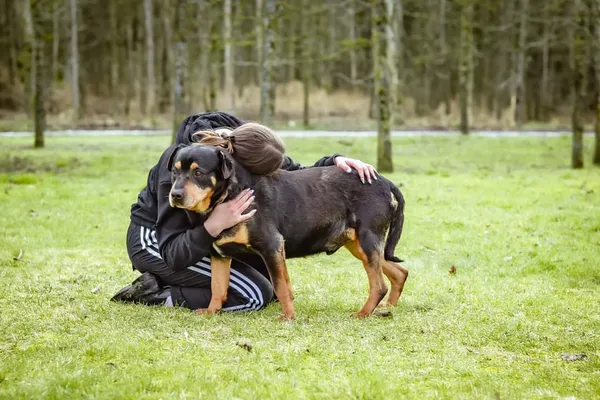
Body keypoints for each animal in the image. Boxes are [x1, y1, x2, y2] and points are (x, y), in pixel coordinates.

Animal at [169, 144, 408, 318]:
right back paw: (388, 308)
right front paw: (211, 312)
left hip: (367, 238)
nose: (175, 195)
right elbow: (217, 287)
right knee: (399, 273)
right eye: (174, 171)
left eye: (198, 172)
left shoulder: (271, 246)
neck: (228, 194)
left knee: (379, 285)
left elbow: (281, 286)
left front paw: (288, 317)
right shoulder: (219, 254)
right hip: (359, 243)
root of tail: (385, 181)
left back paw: (363, 314)